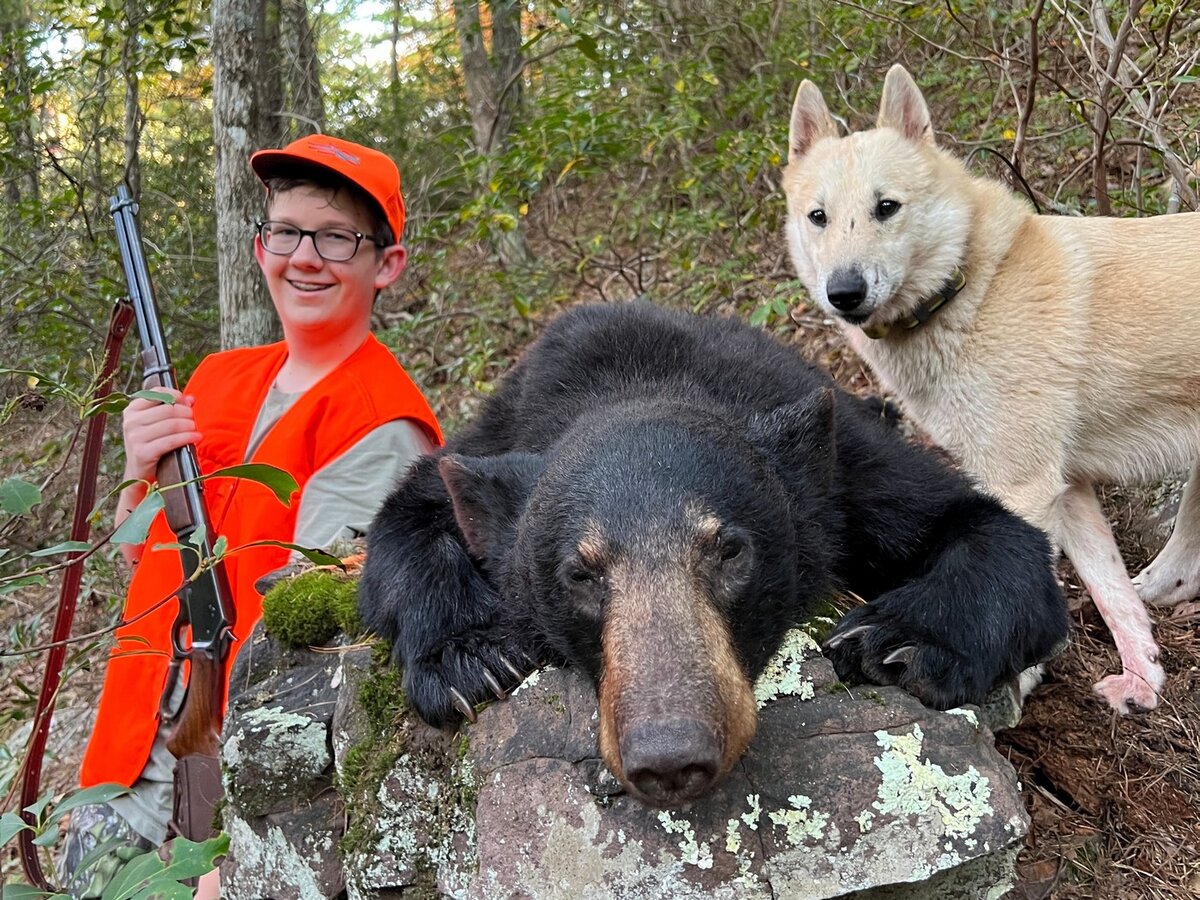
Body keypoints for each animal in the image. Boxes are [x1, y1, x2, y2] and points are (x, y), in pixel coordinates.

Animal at [357, 303, 1070, 811]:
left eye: (729, 549)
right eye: (580, 572)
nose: (671, 756)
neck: (636, 380)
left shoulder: (845, 469)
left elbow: (984, 527)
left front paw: (895, 639)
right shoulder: (499, 432)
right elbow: (407, 516)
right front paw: (470, 656)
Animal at [777, 63, 1200, 715]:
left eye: (886, 208)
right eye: (817, 217)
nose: (844, 293)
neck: (970, 282)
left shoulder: (1023, 488)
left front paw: (1013, 683)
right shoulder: (1069, 491)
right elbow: (1111, 596)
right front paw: (1141, 680)